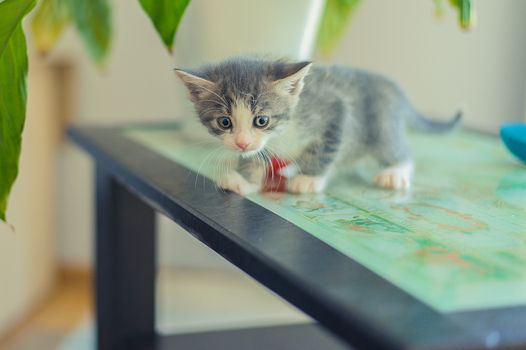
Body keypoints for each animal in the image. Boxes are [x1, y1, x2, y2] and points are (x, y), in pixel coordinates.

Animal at [174, 56, 462, 196]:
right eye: (224, 122)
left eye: (262, 120)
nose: (242, 142)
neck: (283, 132)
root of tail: (395, 88)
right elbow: (255, 156)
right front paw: (244, 179)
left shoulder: (335, 110)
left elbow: (324, 149)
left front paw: (309, 178)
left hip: (382, 123)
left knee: (396, 149)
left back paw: (394, 172)